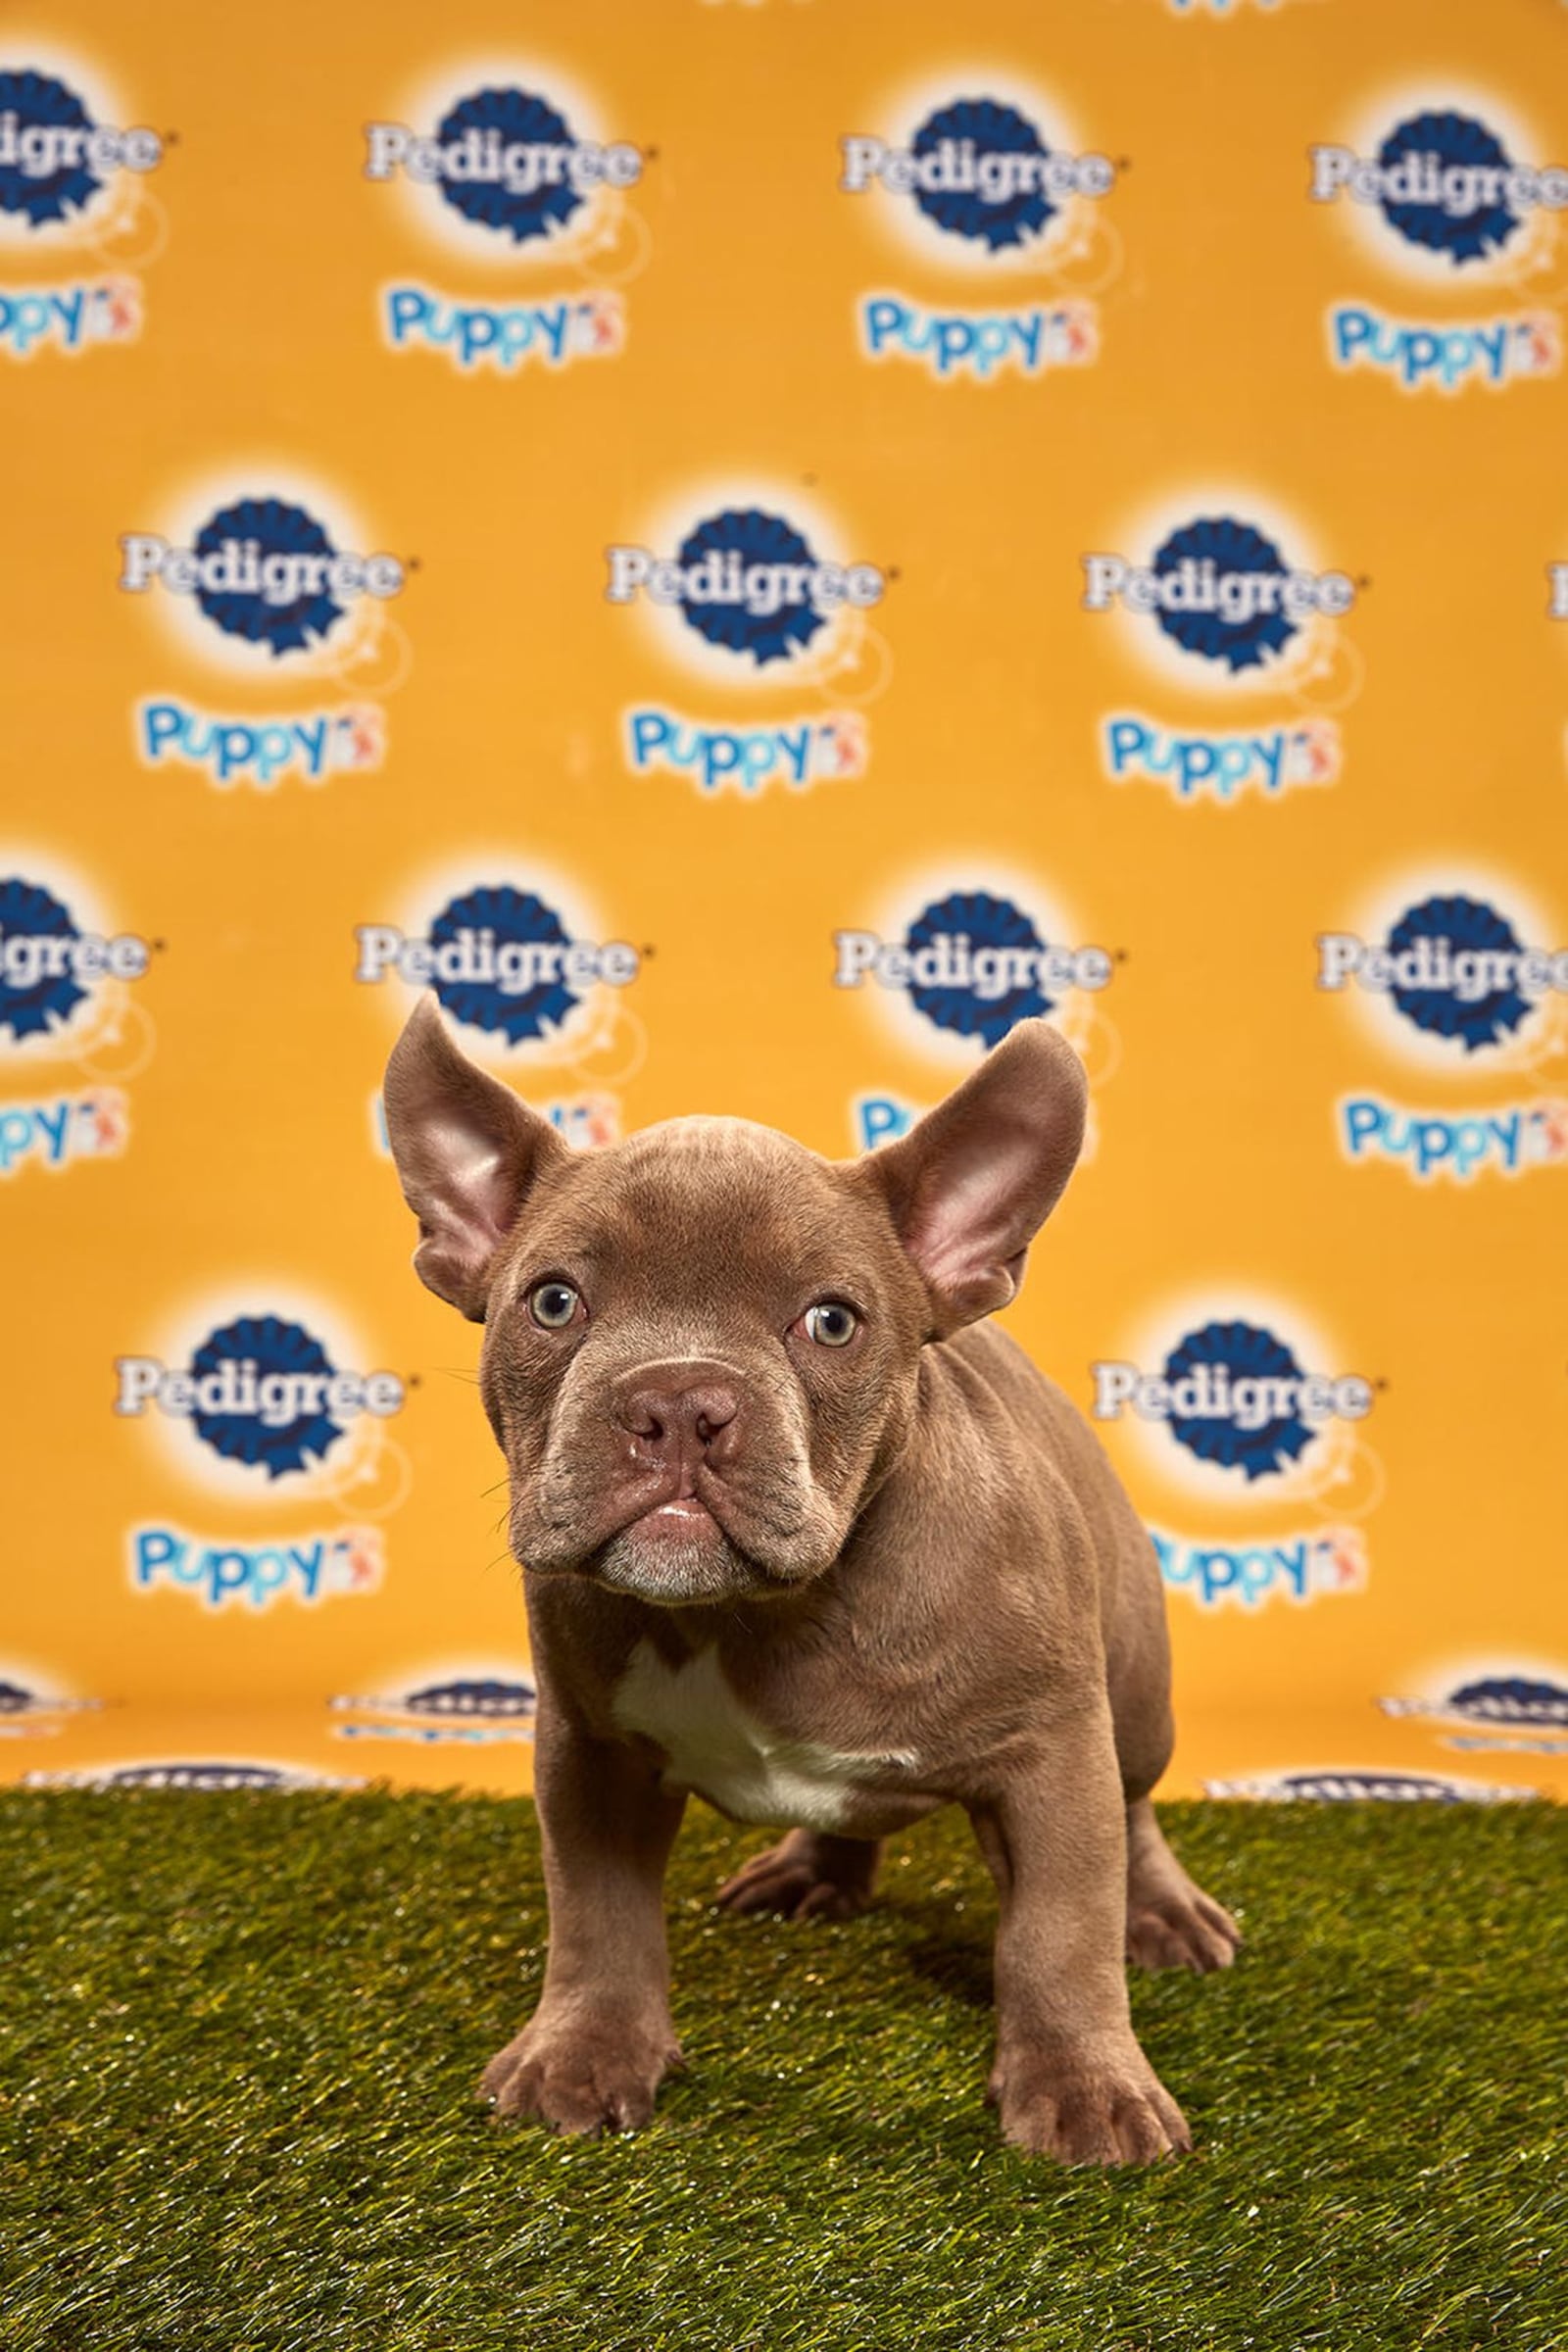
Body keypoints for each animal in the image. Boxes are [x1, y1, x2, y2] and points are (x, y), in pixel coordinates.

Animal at [383, 992, 1241, 2164]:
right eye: (552, 1304)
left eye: (832, 1321)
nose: (678, 1400)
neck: (765, 1614)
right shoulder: (590, 1752)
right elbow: (598, 1915)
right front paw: (586, 2051)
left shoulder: (1053, 1756)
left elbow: (1060, 1934)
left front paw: (1084, 2085)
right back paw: (810, 1869)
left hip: (1138, 1696)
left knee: (1138, 1805)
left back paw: (1162, 1910)